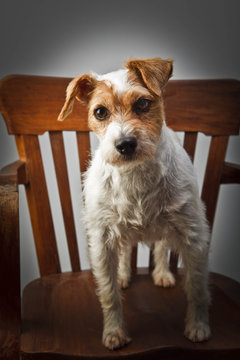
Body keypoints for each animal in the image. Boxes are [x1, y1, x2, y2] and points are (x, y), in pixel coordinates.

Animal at [57, 57, 210, 350]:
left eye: (142, 104)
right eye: (100, 112)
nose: (125, 144)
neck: (134, 174)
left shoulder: (193, 235)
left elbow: (197, 287)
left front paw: (198, 326)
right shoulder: (102, 239)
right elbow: (108, 294)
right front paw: (114, 332)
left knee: (161, 245)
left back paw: (161, 273)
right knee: (127, 249)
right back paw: (124, 273)